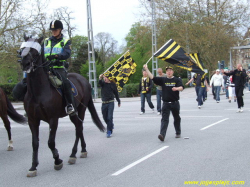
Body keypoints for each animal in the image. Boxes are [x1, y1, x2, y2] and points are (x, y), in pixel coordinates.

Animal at [19, 35, 105, 178]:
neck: (38, 92)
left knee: (79, 128)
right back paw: (82, 150)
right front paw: (33, 167)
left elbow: (50, 142)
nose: (24, 63)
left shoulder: (53, 119)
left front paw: (57, 160)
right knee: (79, 127)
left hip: (80, 109)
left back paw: (73, 154)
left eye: (35, 52)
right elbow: (35, 143)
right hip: (73, 114)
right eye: (22, 49)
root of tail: (85, 80)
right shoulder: (32, 120)